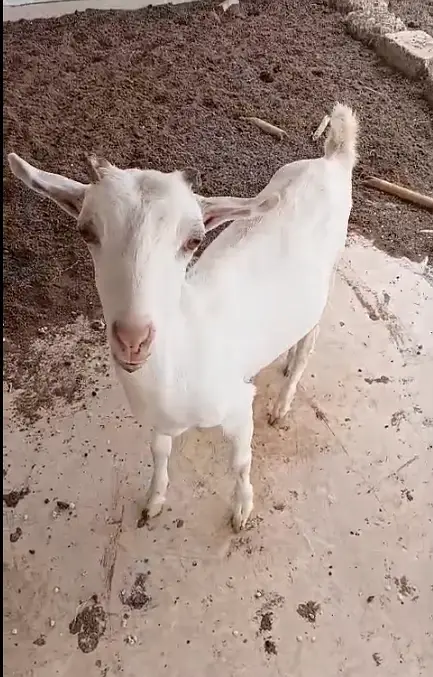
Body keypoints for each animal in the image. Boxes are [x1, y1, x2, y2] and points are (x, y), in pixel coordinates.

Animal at [7, 102, 358, 532]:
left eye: (194, 240)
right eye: (86, 231)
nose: (133, 339)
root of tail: (332, 159)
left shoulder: (237, 406)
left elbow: (241, 462)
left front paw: (242, 509)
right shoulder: (157, 421)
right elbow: (159, 453)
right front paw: (153, 500)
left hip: (329, 274)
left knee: (310, 339)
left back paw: (282, 402)